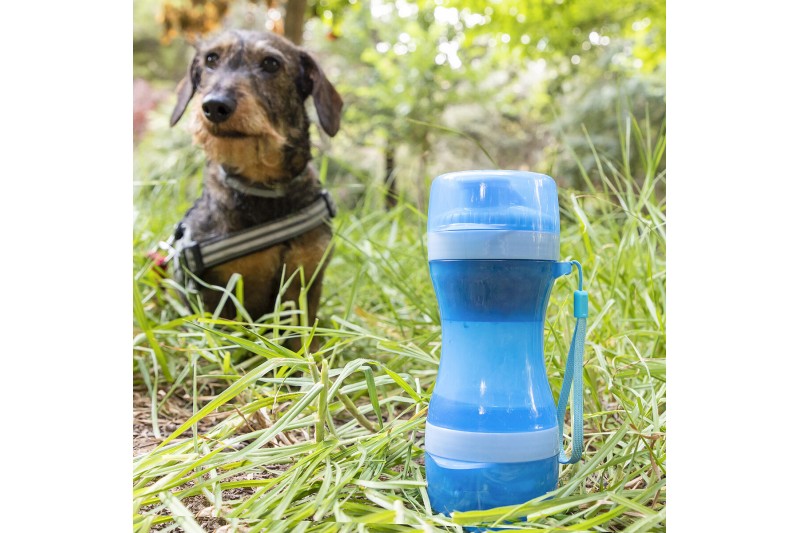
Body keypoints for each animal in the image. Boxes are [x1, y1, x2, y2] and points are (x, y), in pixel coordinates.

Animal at [169, 29, 344, 330]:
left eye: (271, 63)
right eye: (211, 59)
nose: (214, 106)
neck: (264, 190)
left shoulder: (304, 283)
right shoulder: (214, 295)